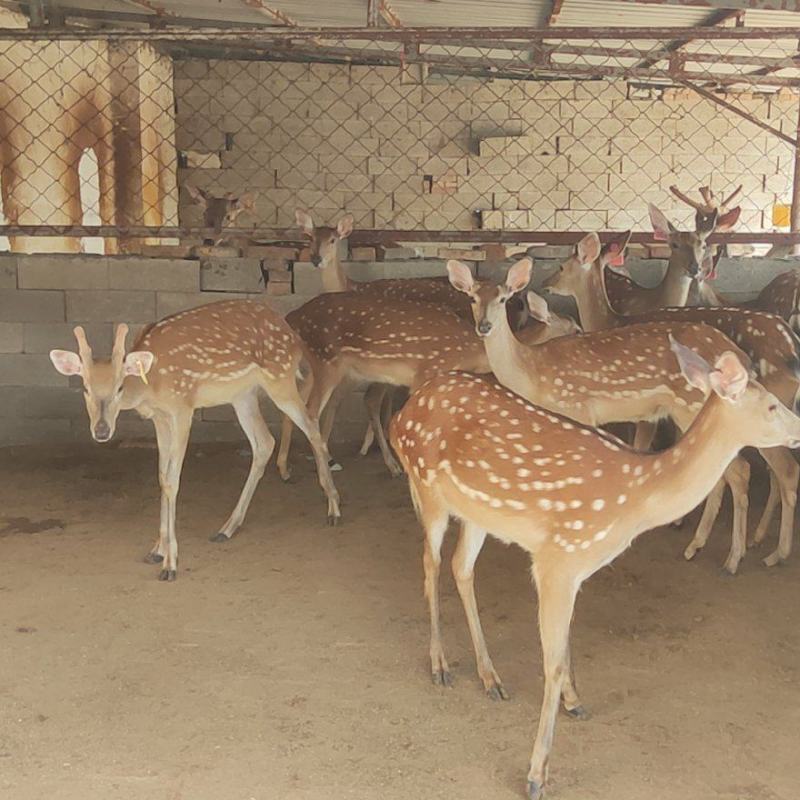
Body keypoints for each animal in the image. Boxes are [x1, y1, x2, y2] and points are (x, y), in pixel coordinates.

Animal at [47, 300, 340, 580]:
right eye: (85, 387)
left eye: (120, 386)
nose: (101, 431)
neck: (151, 385)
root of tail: (291, 333)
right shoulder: (159, 417)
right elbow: (161, 476)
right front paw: (156, 550)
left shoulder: (182, 407)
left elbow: (172, 480)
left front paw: (170, 564)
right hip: (242, 394)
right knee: (264, 442)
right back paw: (227, 528)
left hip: (280, 378)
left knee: (311, 425)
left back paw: (333, 509)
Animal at [390, 350, 800, 800]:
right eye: (772, 405)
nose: (798, 432)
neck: (634, 498)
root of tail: (400, 417)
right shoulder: (557, 558)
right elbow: (551, 663)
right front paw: (536, 775)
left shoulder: (575, 569)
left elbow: (567, 643)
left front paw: (574, 701)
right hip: (427, 487)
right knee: (430, 563)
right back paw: (440, 665)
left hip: (477, 512)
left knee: (462, 567)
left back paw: (490, 678)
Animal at [450, 260, 764, 572]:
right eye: (472, 297)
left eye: (503, 299)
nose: (484, 326)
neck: (533, 373)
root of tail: (741, 356)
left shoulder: (577, 407)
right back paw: (696, 546)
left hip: (693, 405)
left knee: (739, 469)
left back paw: (733, 557)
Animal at [544, 231, 800, 568]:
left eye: (561, 266)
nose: (546, 284)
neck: (609, 322)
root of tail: (792, 346)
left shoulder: (647, 413)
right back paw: (752, 541)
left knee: (783, 470)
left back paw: (760, 554)